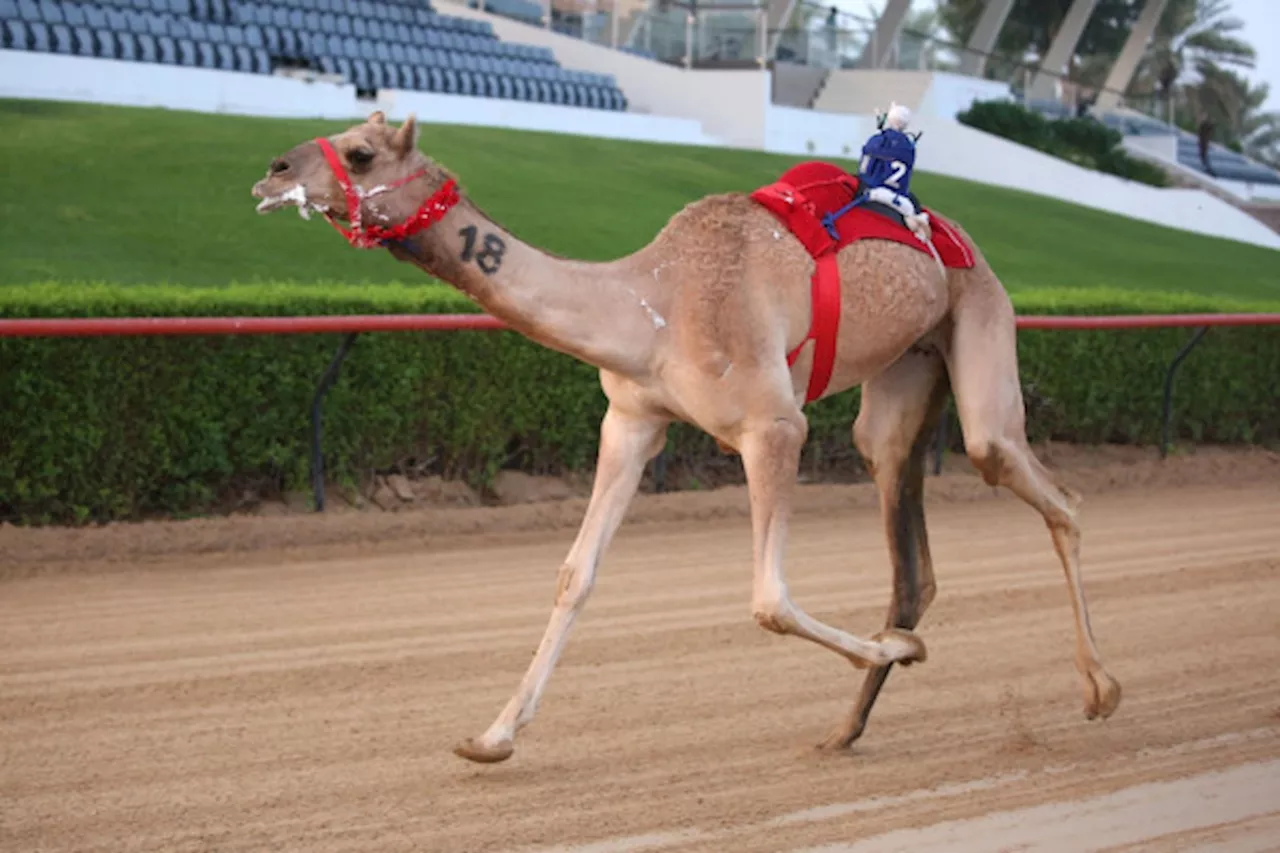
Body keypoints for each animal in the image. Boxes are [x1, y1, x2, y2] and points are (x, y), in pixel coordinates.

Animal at [249, 109, 1121, 758]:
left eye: (360, 152)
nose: (272, 172)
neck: (653, 306)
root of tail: (954, 237)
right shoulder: (632, 418)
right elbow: (575, 574)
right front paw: (491, 735)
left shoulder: (775, 426)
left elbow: (769, 598)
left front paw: (902, 650)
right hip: (903, 378)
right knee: (911, 549)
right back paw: (845, 727)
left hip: (981, 324)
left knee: (1037, 481)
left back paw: (1099, 689)